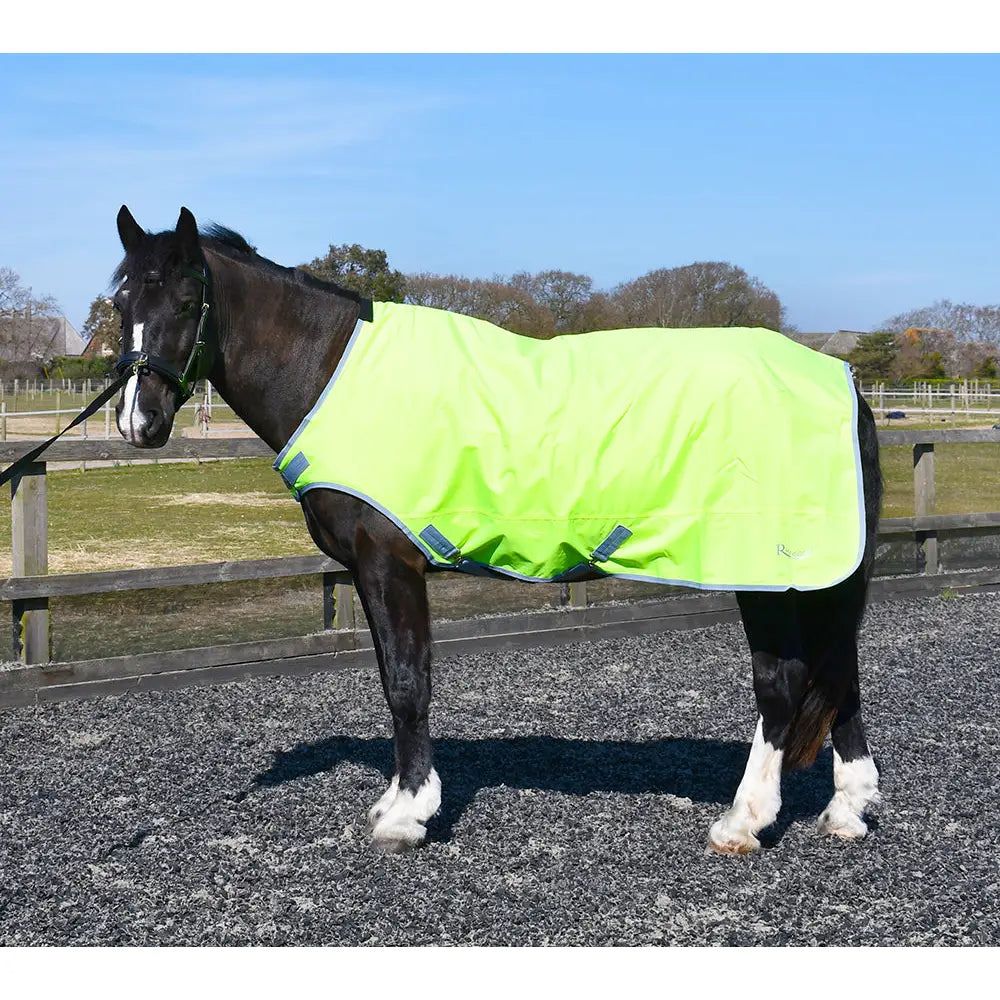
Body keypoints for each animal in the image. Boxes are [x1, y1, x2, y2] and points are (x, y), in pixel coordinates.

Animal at [110, 205, 883, 854]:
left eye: (185, 302)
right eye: (121, 304)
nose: (136, 421)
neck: (330, 371)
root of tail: (844, 383)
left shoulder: (389, 561)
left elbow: (407, 681)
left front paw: (408, 814)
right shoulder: (368, 570)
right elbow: (393, 678)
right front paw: (396, 798)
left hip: (765, 572)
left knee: (783, 683)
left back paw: (742, 821)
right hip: (815, 578)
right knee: (839, 671)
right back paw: (845, 811)